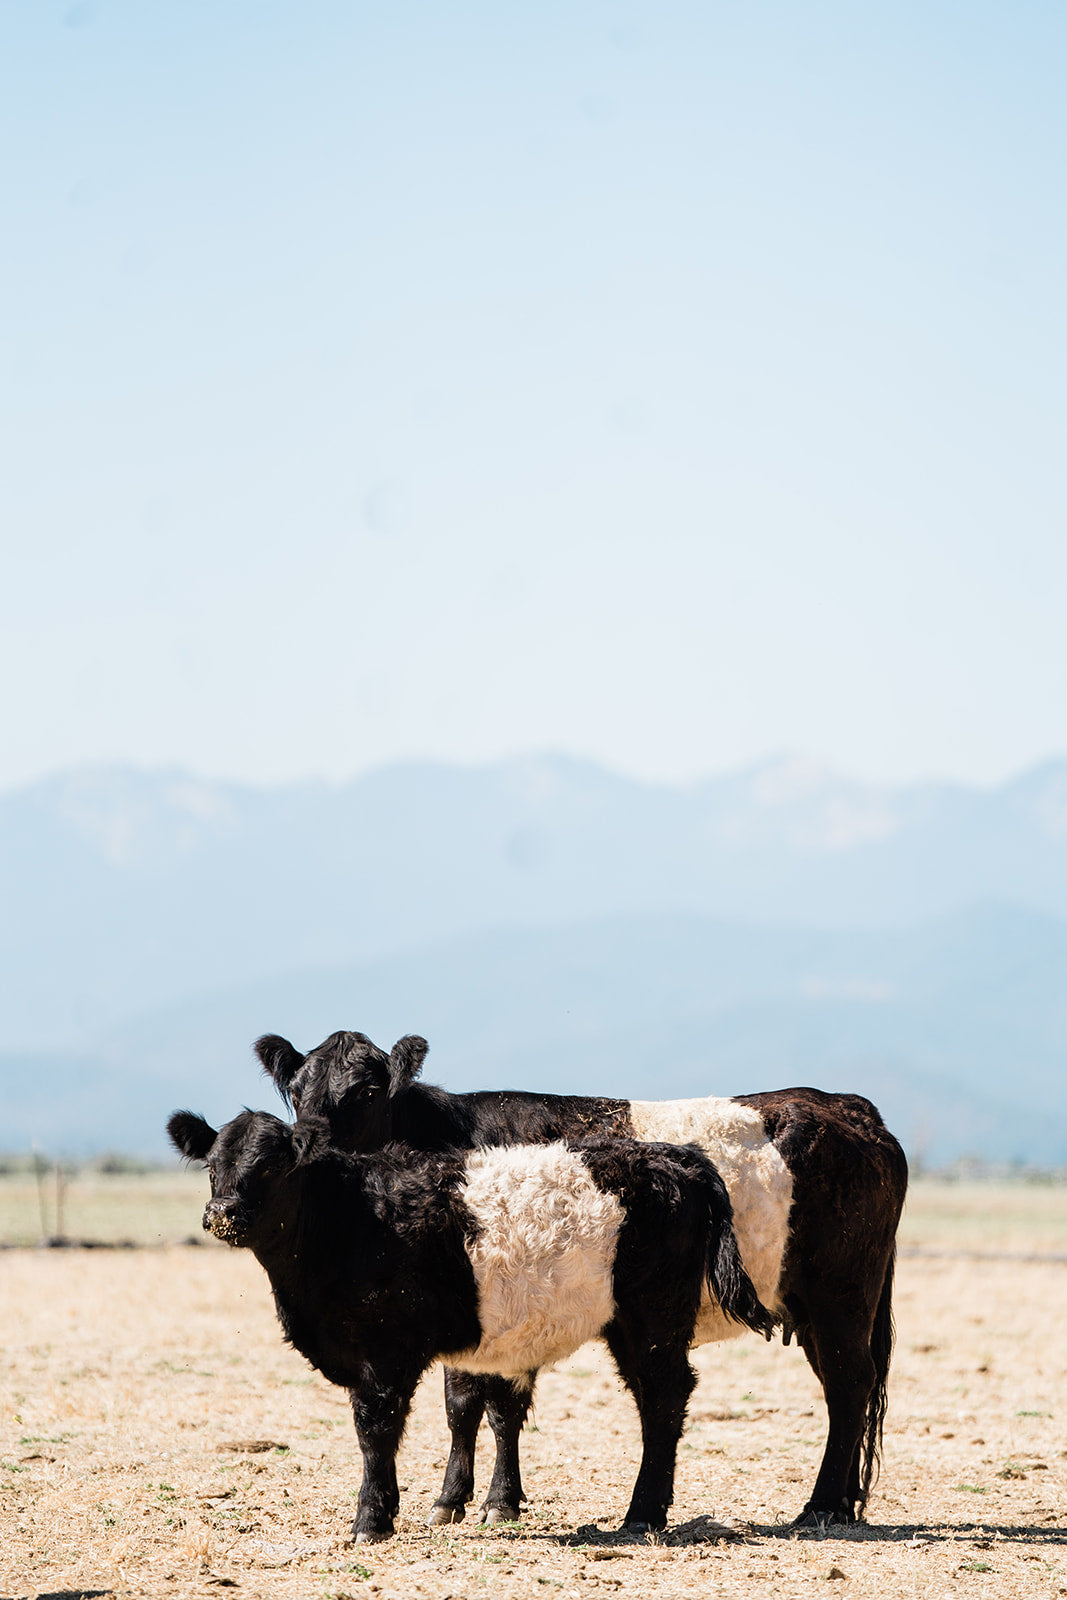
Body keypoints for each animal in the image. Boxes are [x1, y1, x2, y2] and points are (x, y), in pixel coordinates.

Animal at [167, 1108, 775, 1543]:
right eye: (213, 1166)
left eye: (271, 1166)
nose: (222, 1213)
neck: (352, 1219)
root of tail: (676, 1156)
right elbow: (468, 1414)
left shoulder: (386, 1352)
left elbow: (376, 1430)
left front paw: (370, 1521)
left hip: (651, 1320)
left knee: (663, 1401)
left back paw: (643, 1514)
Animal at [257, 1029, 909, 1529]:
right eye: (297, 1091)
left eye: (366, 1092)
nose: (306, 1148)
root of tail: (849, 1107)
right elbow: (469, 1405)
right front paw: (469, 1500)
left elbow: (487, 1402)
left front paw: (480, 1502)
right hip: (816, 1308)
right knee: (844, 1391)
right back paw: (841, 1503)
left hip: (841, 1296)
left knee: (848, 1385)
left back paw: (819, 1506)